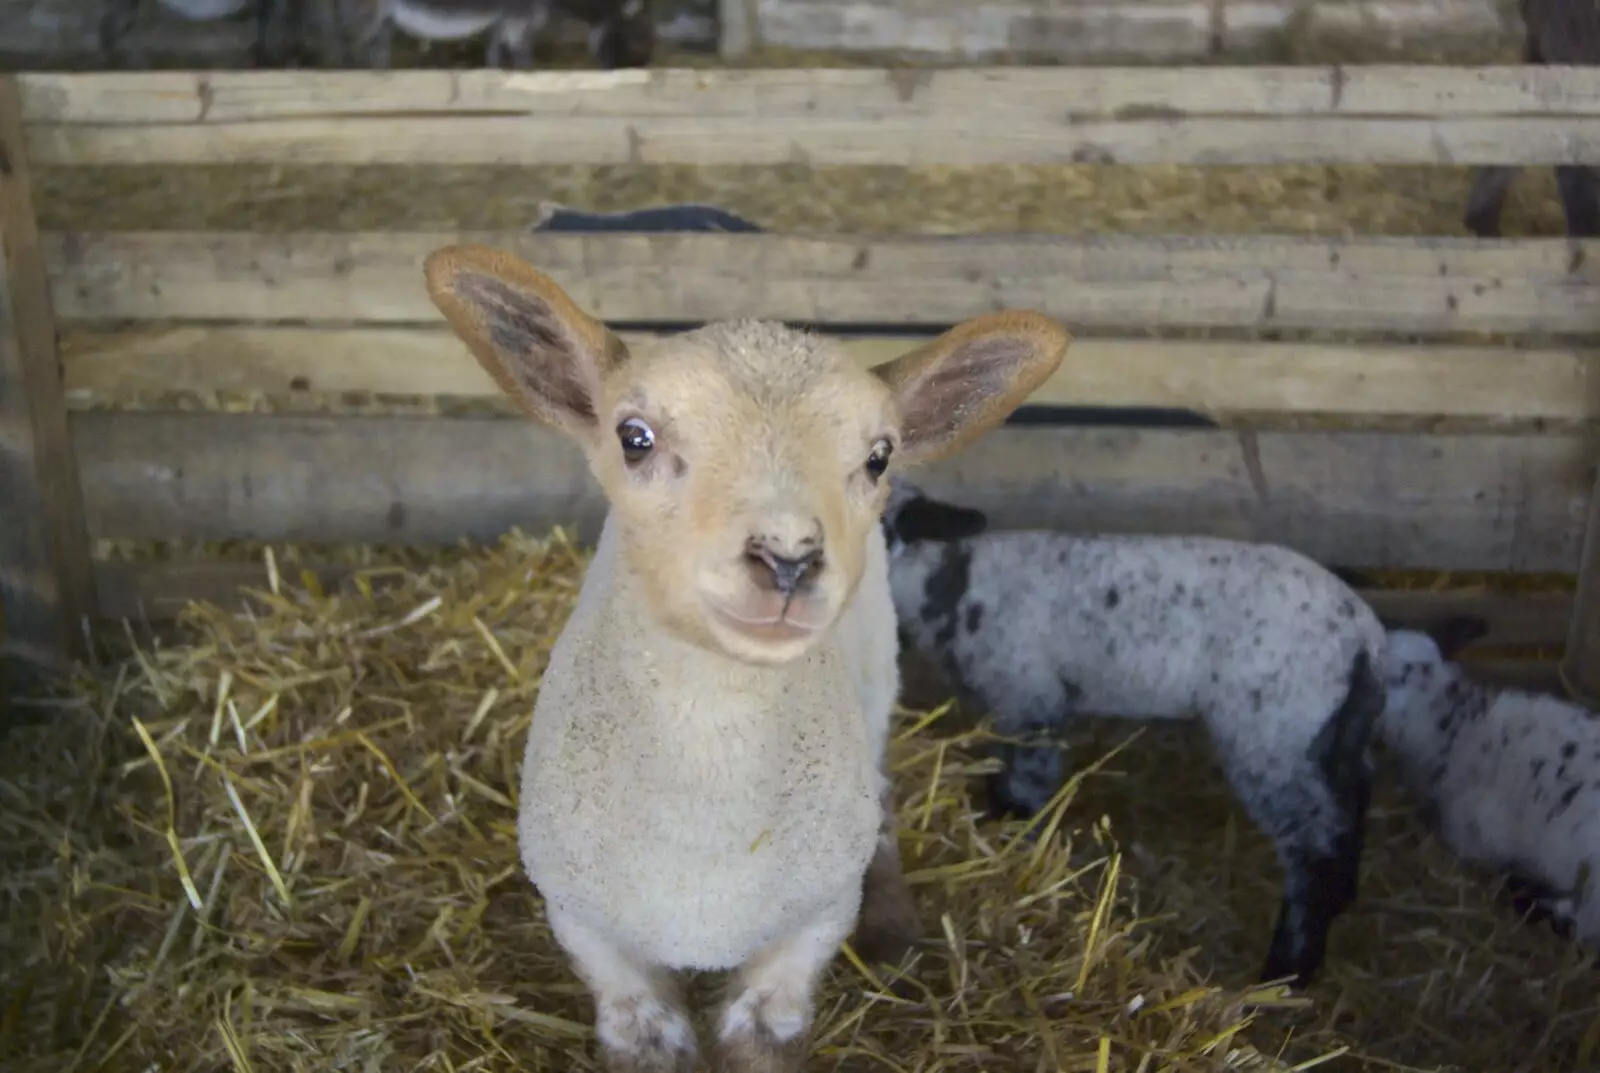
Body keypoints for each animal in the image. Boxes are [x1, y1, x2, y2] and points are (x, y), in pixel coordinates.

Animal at [422, 246, 1075, 1073]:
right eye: (633, 436)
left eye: (879, 455)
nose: (789, 558)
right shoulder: (588, 925)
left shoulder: (811, 923)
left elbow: (765, 1036)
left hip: (875, 684)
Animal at [876, 479, 1388, 991]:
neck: (952, 582)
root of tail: (1366, 638)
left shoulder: (1031, 699)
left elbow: (1021, 791)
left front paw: (1014, 851)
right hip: (1333, 736)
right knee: (1345, 826)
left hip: (1274, 732)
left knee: (1313, 853)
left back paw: (1283, 974)